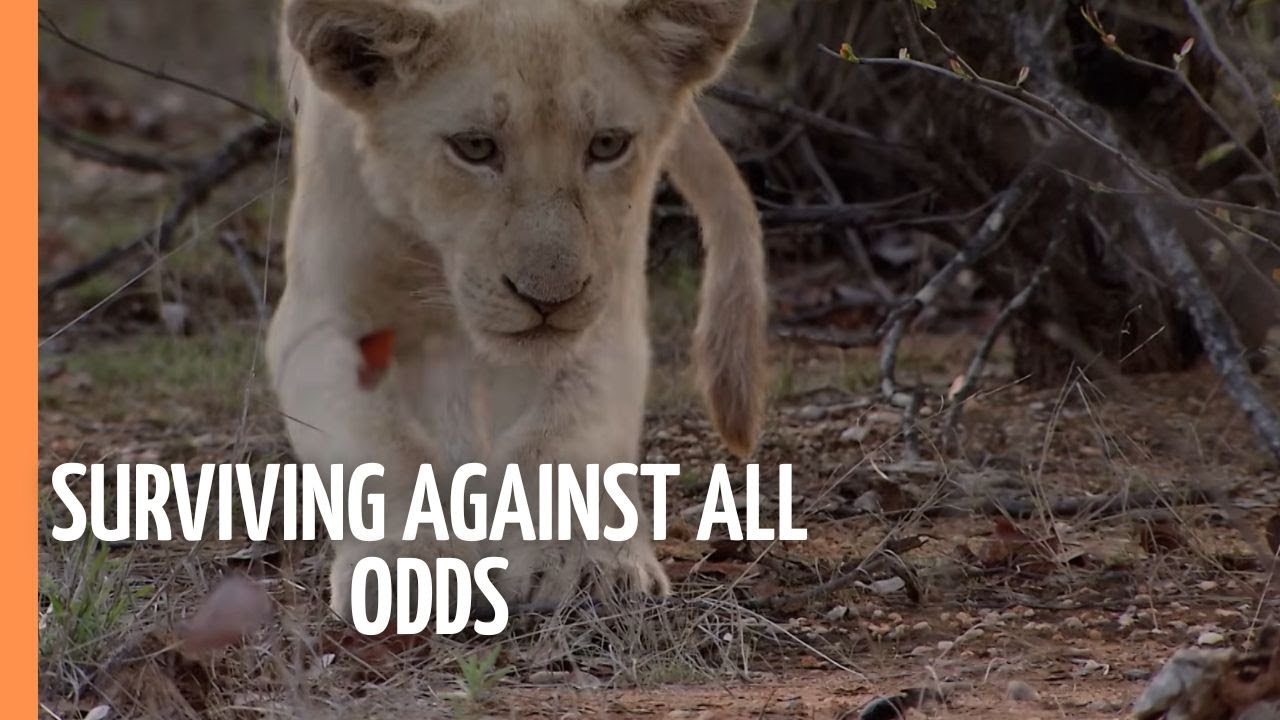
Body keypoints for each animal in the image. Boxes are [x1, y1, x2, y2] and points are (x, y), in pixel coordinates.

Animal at [267, 0, 767, 621]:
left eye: (607, 144)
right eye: (475, 147)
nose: (548, 298)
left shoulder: (602, 303)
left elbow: (567, 427)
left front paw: (581, 564)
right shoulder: (321, 317)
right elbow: (381, 441)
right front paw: (410, 564)